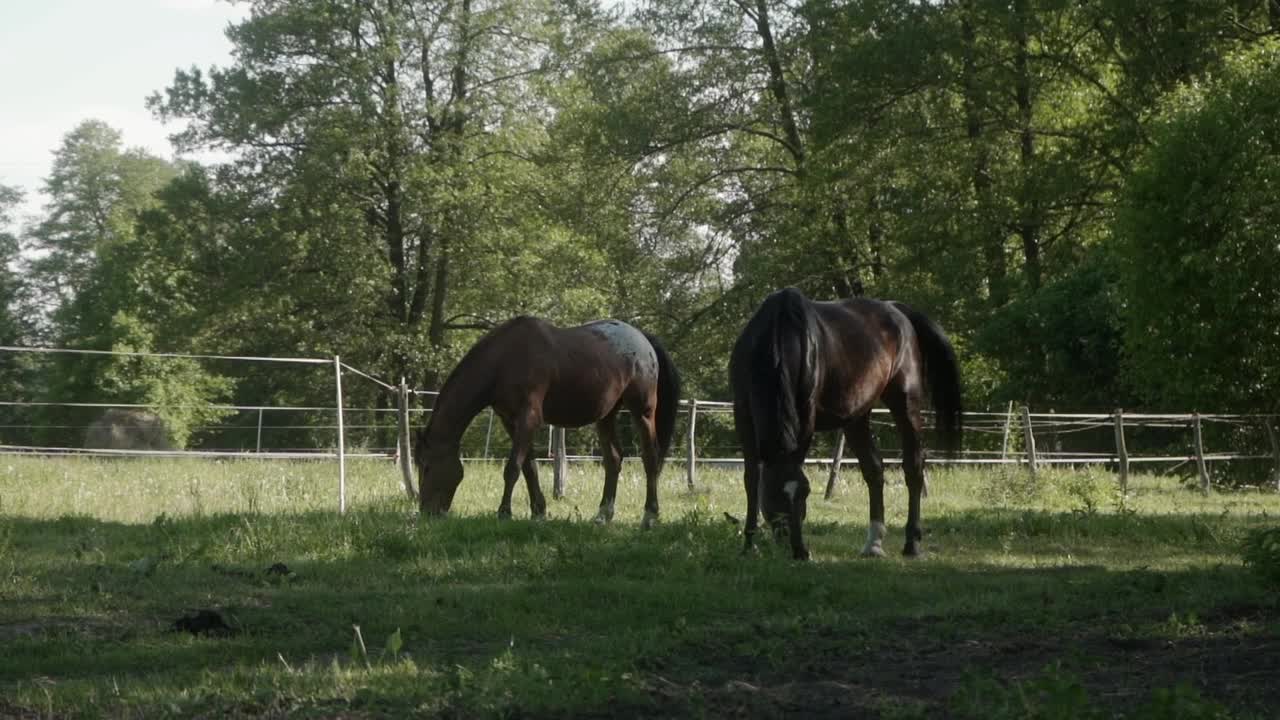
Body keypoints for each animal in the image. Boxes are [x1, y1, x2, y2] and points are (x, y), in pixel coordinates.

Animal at [417, 316, 680, 525]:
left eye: (427, 466)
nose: (426, 512)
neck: (504, 359)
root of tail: (644, 339)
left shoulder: (529, 418)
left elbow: (512, 468)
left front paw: (504, 513)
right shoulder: (510, 420)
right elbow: (529, 467)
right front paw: (538, 512)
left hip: (642, 411)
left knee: (650, 458)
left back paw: (650, 516)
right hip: (606, 416)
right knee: (614, 459)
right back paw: (603, 515)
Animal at [732, 288, 962, 558]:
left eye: (805, 492)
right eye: (773, 494)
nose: (800, 551)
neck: (778, 339)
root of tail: (896, 309)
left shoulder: (806, 415)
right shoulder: (743, 413)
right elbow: (750, 479)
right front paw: (749, 546)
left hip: (905, 402)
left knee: (913, 466)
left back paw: (912, 543)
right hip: (856, 416)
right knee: (874, 469)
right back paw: (873, 543)